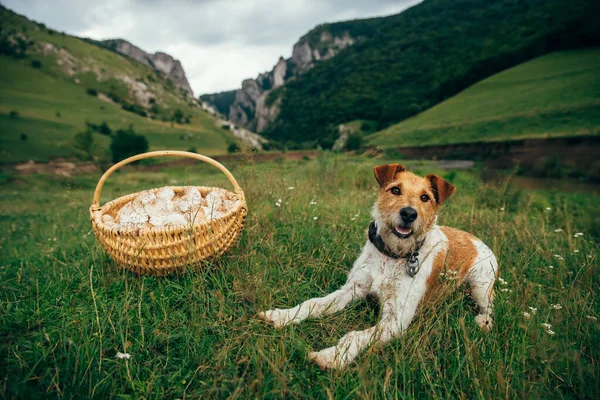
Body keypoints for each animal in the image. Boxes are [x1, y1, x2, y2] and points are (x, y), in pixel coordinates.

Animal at [258, 164, 496, 370]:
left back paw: (483, 322)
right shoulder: (351, 289)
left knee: (490, 309)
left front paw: (332, 356)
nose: (409, 214)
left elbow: (355, 335)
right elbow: (313, 303)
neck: (393, 255)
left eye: (425, 197)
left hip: (480, 285)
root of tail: (477, 239)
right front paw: (282, 316)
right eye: (395, 190)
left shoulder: (397, 319)